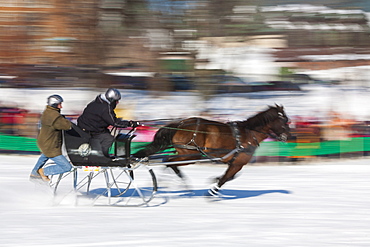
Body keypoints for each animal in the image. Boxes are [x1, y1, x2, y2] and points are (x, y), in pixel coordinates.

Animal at [134, 104, 292, 197]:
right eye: (284, 121)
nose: (290, 136)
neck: (248, 134)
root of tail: (180, 123)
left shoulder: (233, 162)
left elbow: (229, 176)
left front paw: (213, 180)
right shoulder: (238, 163)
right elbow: (226, 178)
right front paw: (212, 191)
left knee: (169, 162)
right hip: (190, 154)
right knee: (169, 161)